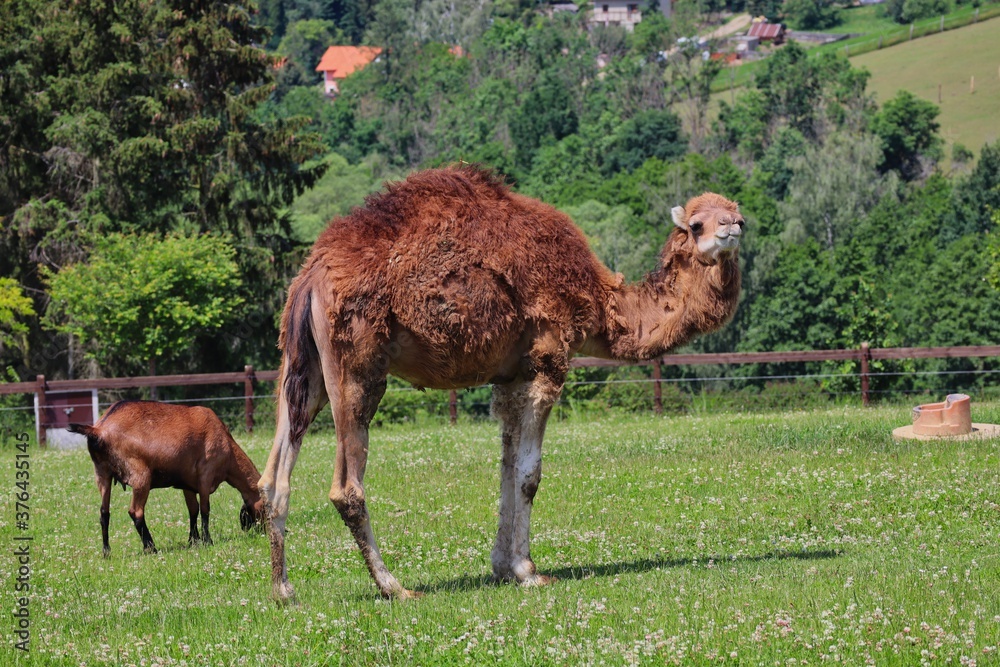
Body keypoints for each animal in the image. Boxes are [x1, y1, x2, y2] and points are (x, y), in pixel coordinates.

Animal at [69, 400, 264, 555]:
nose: (263, 531)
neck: (228, 450)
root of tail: (100, 429)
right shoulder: (205, 475)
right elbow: (205, 510)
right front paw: (207, 541)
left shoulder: (188, 484)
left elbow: (193, 510)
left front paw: (193, 540)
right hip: (141, 476)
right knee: (136, 512)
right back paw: (151, 548)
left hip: (102, 473)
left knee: (104, 513)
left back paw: (106, 551)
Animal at [258, 165, 744, 601]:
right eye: (697, 224)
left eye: (735, 211)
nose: (735, 227)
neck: (601, 304)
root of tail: (310, 278)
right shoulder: (547, 361)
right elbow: (529, 474)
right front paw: (528, 571)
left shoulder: (511, 374)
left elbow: (507, 467)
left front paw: (502, 567)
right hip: (356, 366)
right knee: (346, 487)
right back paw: (394, 587)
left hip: (302, 367)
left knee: (273, 476)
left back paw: (284, 590)